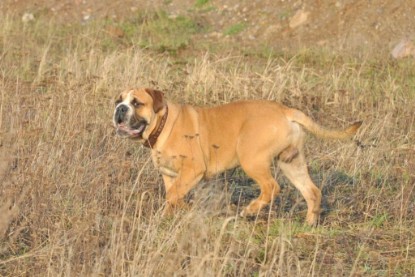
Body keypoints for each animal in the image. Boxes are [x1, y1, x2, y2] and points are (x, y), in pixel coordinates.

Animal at [113, 88, 360, 224]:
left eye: (136, 103)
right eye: (118, 100)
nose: (120, 109)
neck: (162, 123)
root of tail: (285, 110)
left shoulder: (193, 169)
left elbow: (173, 195)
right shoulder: (170, 175)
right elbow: (172, 196)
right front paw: (170, 216)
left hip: (251, 159)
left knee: (271, 187)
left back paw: (250, 210)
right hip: (292, 163)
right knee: (312, 191)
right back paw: (309, 223)